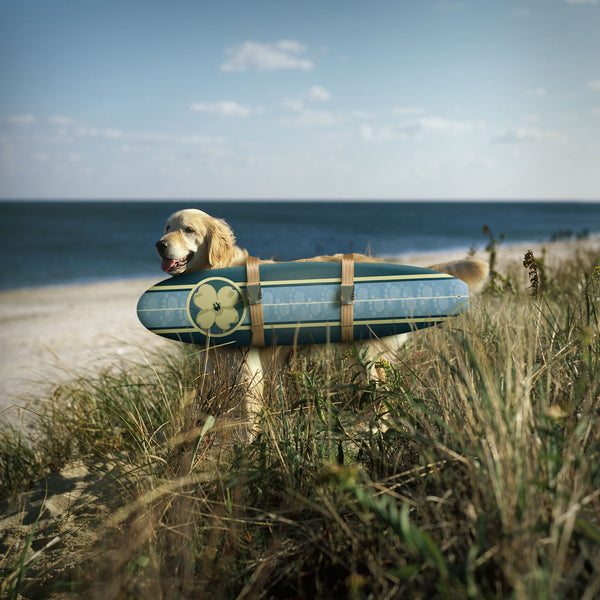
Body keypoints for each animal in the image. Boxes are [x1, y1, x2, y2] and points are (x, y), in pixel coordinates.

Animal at [156, 210, 488, 432]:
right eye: (167, 227)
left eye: (188, 229)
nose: (159, 244)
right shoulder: (213, 365)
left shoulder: (250, 368)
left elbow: (249, 417)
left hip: (367, 356)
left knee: (383, 397)